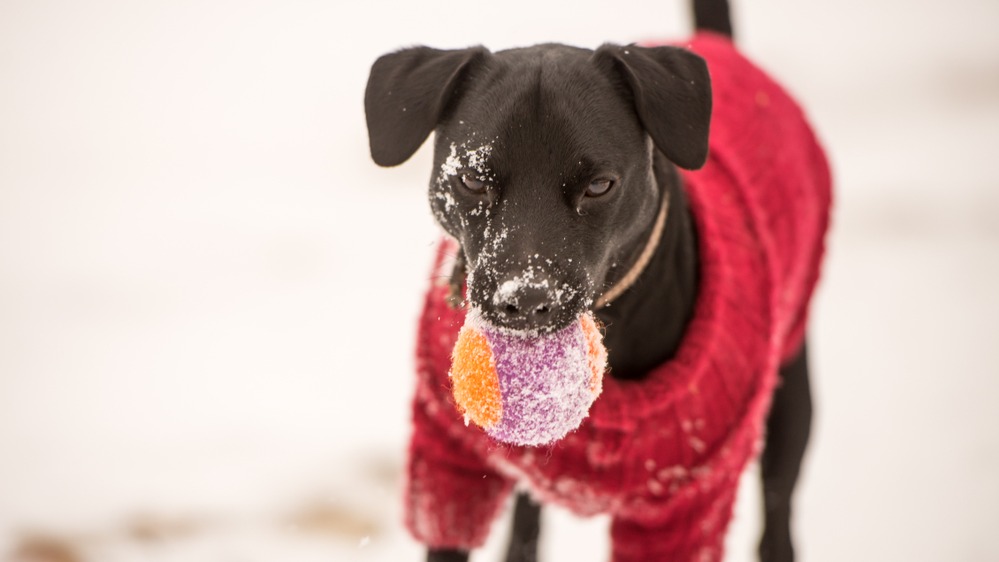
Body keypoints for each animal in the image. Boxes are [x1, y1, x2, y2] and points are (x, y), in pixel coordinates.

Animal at [366, 2, 820, 556]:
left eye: (600, 185)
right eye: (471, 179)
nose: (525, 298)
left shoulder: (685, 504)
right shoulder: (448, 458)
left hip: (791, 400)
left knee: (778, 516)